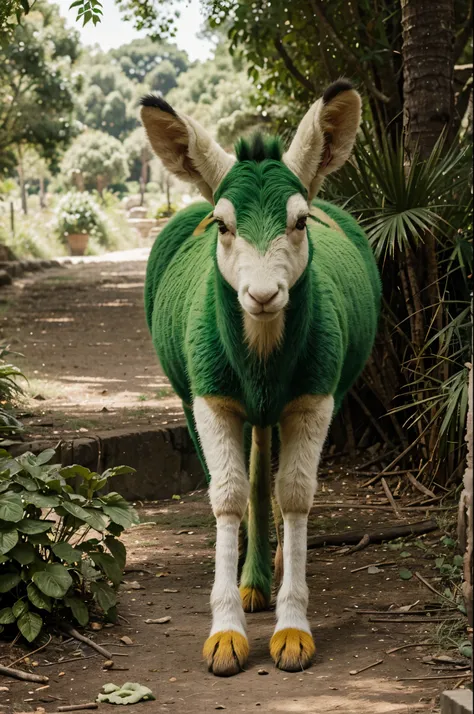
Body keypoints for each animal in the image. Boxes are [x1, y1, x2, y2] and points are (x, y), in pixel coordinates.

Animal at [141, 80, 382, 676]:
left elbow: (294, 493)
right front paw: (225, 632)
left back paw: (266, 568)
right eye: (224, 225)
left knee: (267, 465)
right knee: (245, 471)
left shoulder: (316, 395)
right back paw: (251, 580)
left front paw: (293, 630)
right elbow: (226, 494)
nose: (263, 294)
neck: (263, 355)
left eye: (300, 221)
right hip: (192, 393)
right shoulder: (210, 397)